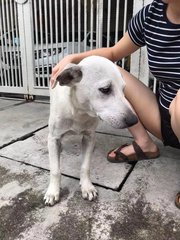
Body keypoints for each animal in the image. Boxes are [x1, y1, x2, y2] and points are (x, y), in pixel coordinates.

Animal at [44, 56, 137, 206]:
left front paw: (87, 187)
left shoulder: (89, 137)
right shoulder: (53, 138)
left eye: (124, 90)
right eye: (105, 89)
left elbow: (85, 166)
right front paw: (53, 192)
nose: (134, 120)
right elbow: (55, 170)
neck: (79, 111)